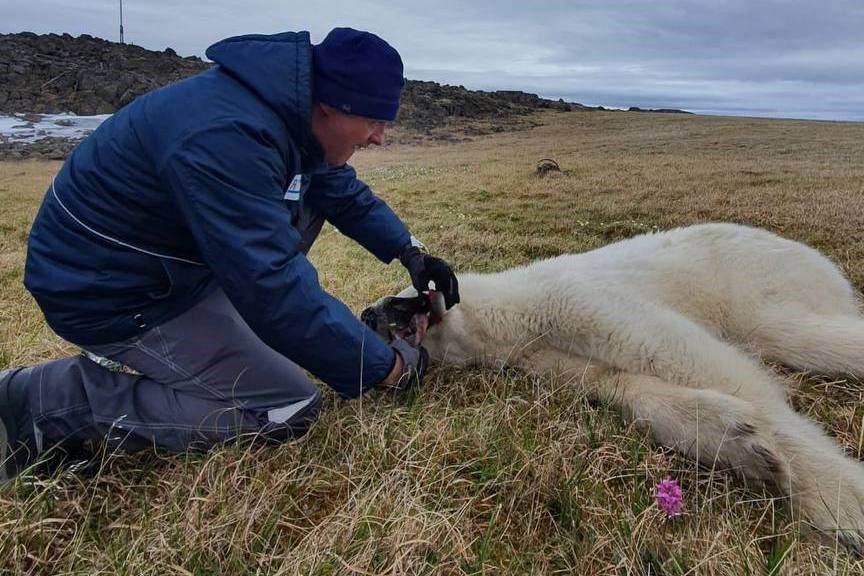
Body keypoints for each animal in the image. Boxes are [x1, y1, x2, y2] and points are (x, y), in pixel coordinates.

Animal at [362, 222, 864, 552]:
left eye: (397, 296)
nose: (367, 315)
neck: (506, 315)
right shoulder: (544, 355)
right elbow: (619, 384)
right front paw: (742, 442)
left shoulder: (569, 299)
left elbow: (680, 354)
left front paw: (839, 500)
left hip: (756, 278)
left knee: (795, 330)